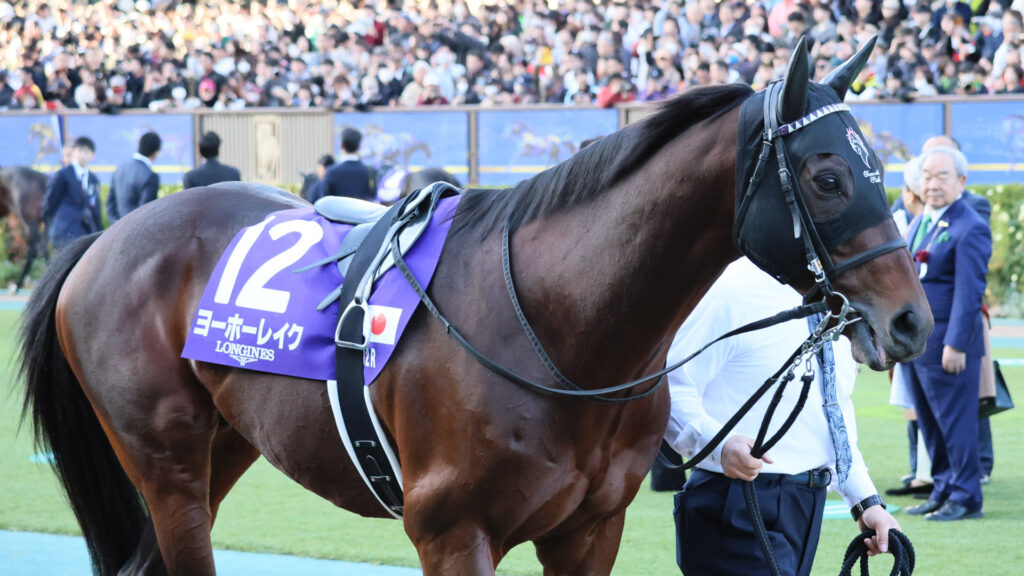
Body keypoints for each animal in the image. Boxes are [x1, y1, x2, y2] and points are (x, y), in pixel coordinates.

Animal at [20, 39, 932, 576]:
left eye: (880, 168)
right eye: (827, 175)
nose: (912, 320)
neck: (562, 333)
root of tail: (105, 239)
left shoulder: (588, 533)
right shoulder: (454, 533)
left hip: (225, 443)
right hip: (164, 462)